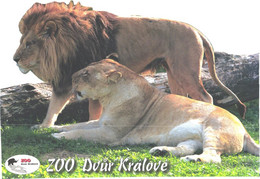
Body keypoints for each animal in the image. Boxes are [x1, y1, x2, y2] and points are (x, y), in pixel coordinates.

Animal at [13, 1, 246, 127]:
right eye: (21, 41)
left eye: (30, 43)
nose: (14, 60)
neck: (67, 42)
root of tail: (196, 29)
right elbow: (56, 105)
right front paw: (44, 126)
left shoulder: (82, 75)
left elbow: (77, 107)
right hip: (173, 72)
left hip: (185, 71)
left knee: (206, 97)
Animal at [51, 59, 258, 163]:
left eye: (85, 74)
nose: (71, 76)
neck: (108, 99)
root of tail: (245, 131)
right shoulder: (101, 122)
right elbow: (78, 124)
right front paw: (49, 128)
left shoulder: (111, 134)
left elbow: (81, 132)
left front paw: (58, 137)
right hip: (193, 138)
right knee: (185, 147)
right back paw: (162, 151)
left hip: (214, 131)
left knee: (213, 157)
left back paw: (194, 159)